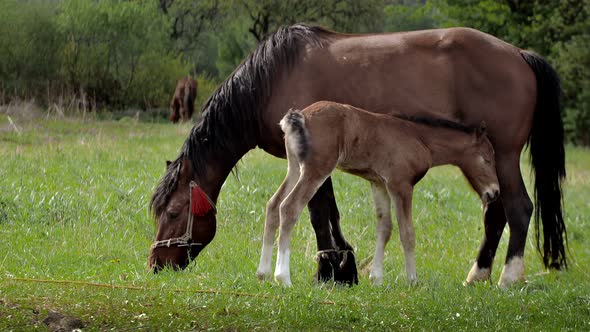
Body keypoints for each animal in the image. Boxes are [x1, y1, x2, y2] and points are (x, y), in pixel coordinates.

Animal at [256, 100, 502, 286]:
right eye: (487, 158)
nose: (494, 192)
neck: (419, 138)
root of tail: (297, 116)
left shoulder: (378, 183)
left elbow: (385, 228)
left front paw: (376, 278)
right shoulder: (400, 185)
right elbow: (407, 232)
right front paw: (412, 280)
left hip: (295, 168)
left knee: (273, 205)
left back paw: (263, 273)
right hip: (316, 170)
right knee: (289, 207)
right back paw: (283, 277)